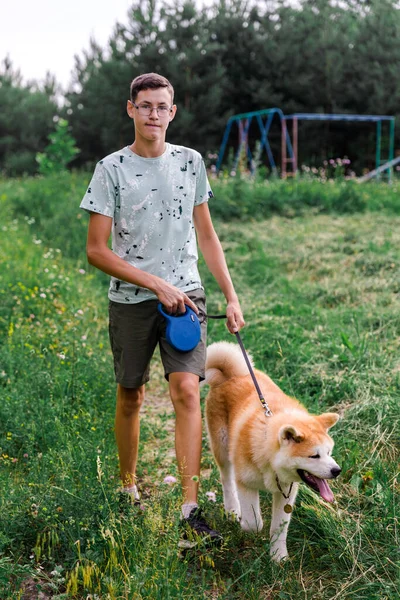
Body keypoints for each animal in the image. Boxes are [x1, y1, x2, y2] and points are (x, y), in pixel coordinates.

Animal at [206, 342, 340, 564]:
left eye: (329, 452)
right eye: (314, 456)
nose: (337, 470)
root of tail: (230, 375)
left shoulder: (287, 493)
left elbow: (279, 528)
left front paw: (278, 556)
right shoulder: (246, 484)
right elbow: (254, 523)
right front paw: (248, 524)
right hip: (222, 448)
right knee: (227, 479)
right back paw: (233, 509)